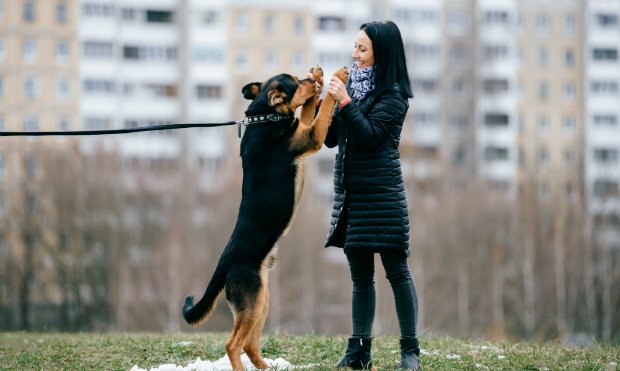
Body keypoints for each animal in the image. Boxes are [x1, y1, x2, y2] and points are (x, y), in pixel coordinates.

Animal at [180, 67, 348, 371]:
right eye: (297, 82)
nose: (312, 75)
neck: (265, 116)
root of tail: (223, 266)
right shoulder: (311, 137)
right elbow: (324, 108)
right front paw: (336, 79)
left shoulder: (303, 127)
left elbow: (308, 111)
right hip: (251, 302)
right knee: (233, 344)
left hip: (262, 301)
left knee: (248, 344)